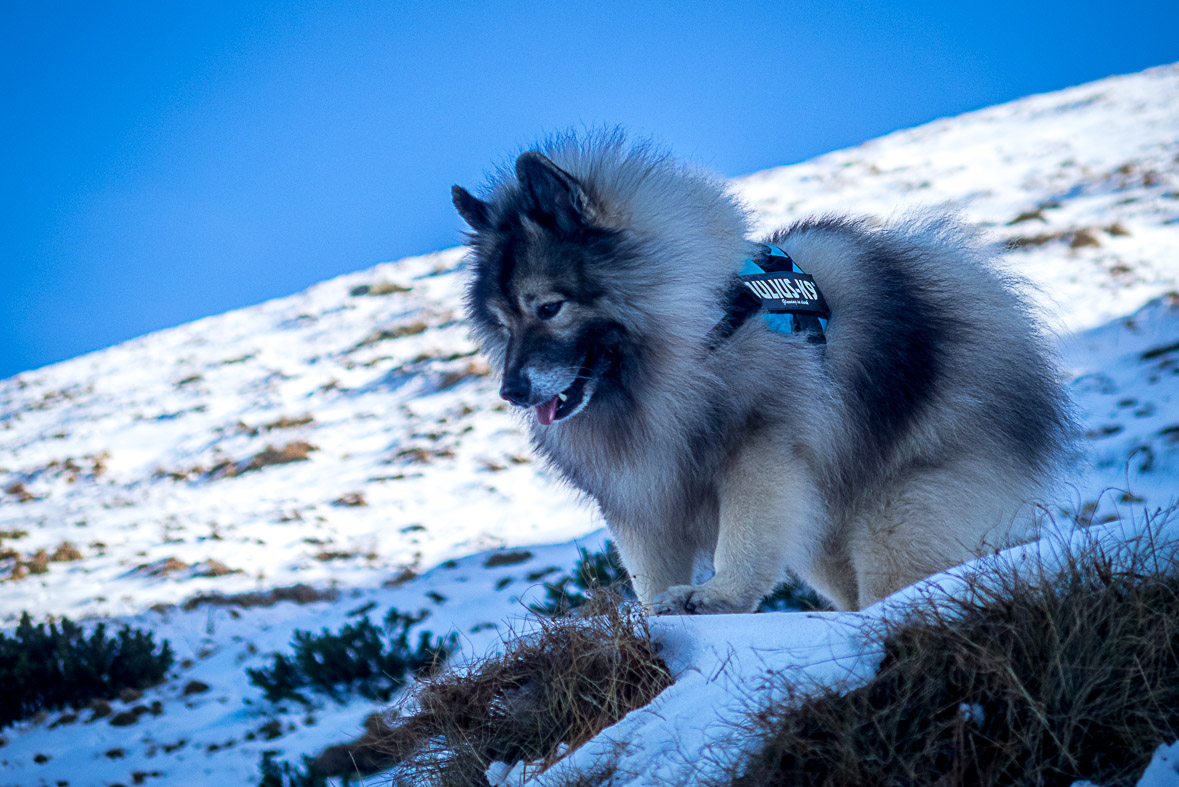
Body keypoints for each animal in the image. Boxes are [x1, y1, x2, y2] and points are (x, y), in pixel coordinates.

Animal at [450, 131, 1079, 612]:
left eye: (548, 307)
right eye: (502, 322)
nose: (511, 391)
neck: (696, 332)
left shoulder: (759, 453)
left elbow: (744, 539)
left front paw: (716, 596)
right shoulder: (642, 496)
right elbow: (649, 573)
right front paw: (657, 617)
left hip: (901, 517)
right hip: (826, 540)